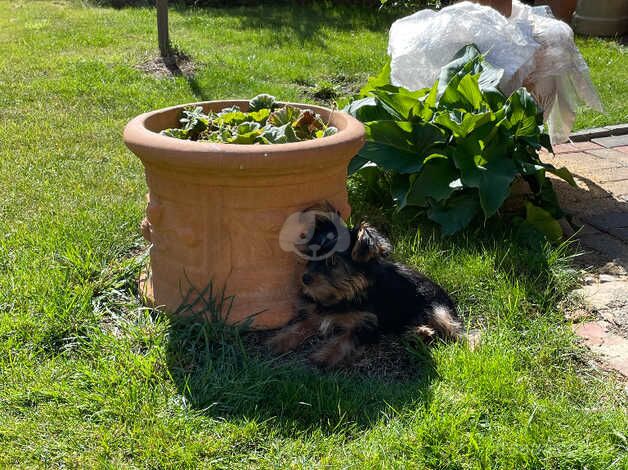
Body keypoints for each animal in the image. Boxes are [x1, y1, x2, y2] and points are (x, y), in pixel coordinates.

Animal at [268, 207, 464, 370]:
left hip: (438, 307)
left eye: (332, 262)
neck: (347, 293)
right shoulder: (319, 311)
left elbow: (345, 340)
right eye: (312, 255)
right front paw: (280, 341)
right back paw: (419, 332)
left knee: (454, 328)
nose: (305, 279)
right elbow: (304, 323)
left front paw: (323, 356)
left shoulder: (367, 324)